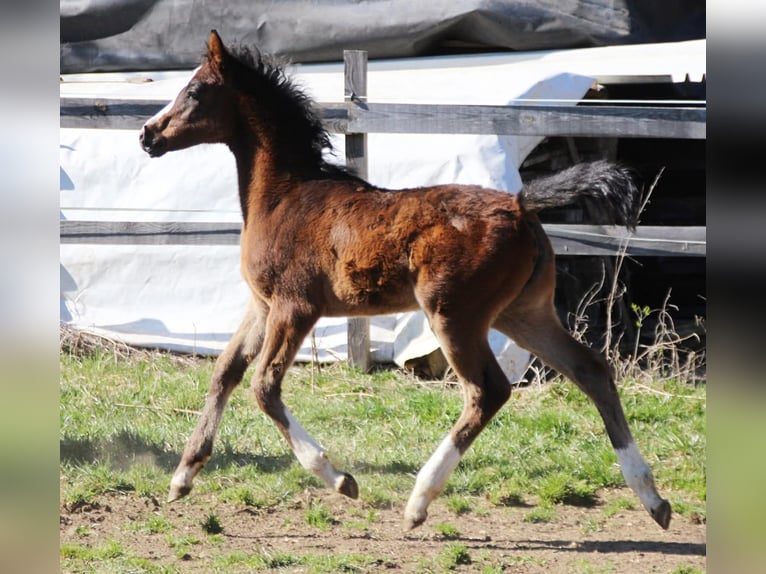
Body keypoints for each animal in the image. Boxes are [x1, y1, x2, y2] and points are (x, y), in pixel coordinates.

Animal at [140, 30, 671, 531]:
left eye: (195, 90)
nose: (148, 134)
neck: (285, 195)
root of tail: (520, 203)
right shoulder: (262, 306)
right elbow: (225, 371)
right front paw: (183, 476)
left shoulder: (295, 307)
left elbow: (264, 387)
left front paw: (340, 479)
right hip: (524, 313)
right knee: (591, 369)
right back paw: (653, 498)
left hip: (454, 315)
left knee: (488, 391)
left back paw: (419, 500)